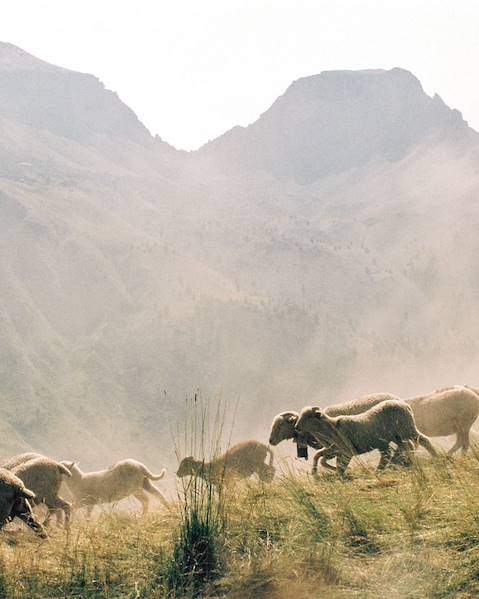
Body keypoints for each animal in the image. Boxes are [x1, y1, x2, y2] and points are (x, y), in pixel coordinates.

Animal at [294, 400, 436, 476]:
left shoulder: (347, 450)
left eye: (308, 416)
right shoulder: (335, 449)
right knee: (405, 447)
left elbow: (340, 464)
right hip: (397, 436)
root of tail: (405, 404)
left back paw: (435, 457)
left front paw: (339, 475)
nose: (296, 427)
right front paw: (315, 472)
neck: (331, 427)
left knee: (423, 440)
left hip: (407, 428)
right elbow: (319, 456)